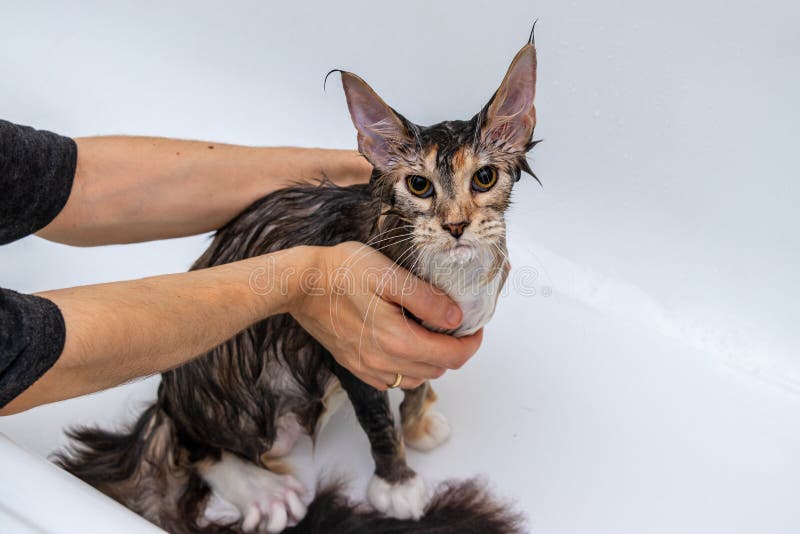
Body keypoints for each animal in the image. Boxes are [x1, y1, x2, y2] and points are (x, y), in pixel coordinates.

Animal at [59, 26, 540, 534]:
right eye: (419, 186)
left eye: (484, 178)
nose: (455, 226)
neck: (450, 276)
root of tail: (169, 396)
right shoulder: (353, 352)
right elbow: (377, 420)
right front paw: (397, 484)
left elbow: (416, 386)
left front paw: (420, 425)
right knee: (194, 443)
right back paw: (262, 491)